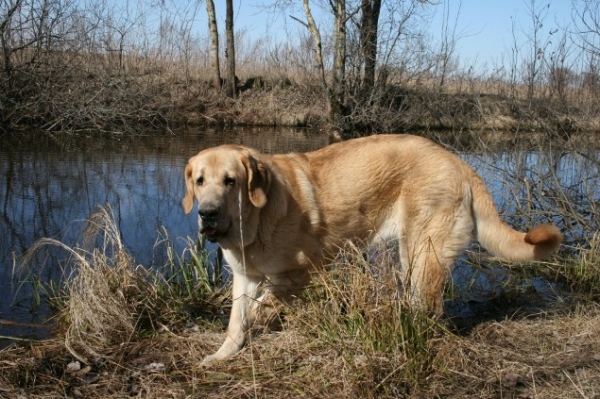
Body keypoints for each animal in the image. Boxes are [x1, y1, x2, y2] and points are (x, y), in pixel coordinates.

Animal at [182, 134, 564, 366]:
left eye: (231, 181)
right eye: (199, 181)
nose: (207, 214)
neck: (254, 222)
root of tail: (458, 163)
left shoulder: (300, 274)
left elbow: (258, 308)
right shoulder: (244, 277)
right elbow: (236, 320)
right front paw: (223, 354)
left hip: (424, 256)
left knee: (430, 311)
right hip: (412, 257)